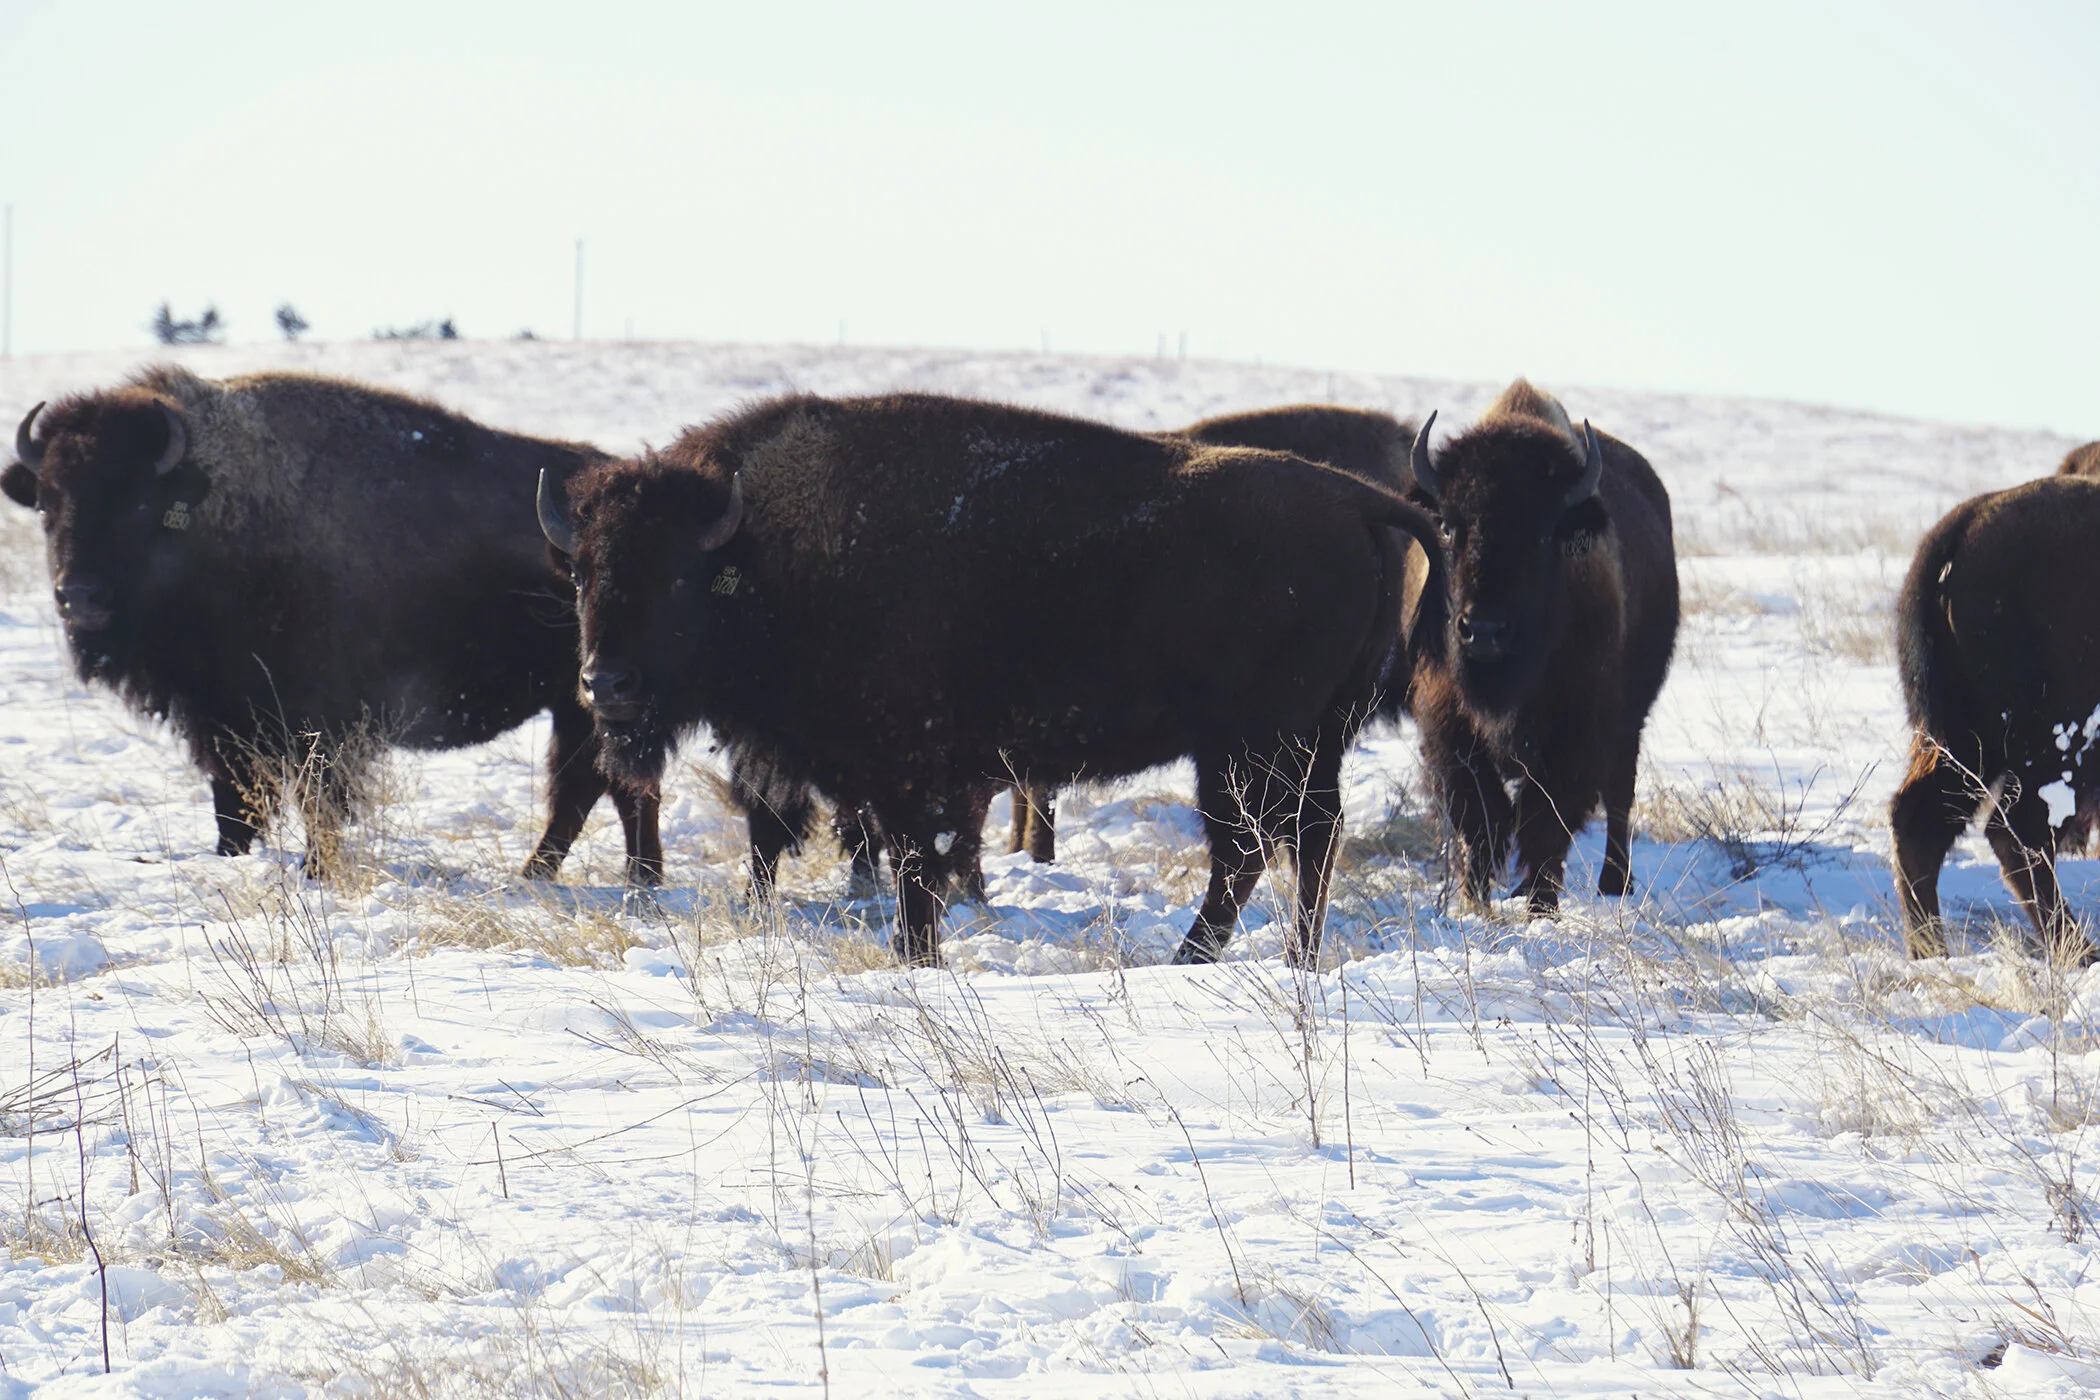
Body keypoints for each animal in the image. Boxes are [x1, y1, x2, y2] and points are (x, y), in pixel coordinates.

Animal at [3, 367, 662, 884]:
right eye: (48, 502)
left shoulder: (314, 722)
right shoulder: (224, 719)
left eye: (138, 501)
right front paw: (234, 859)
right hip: (582, 703)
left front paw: (316, 870)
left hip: (593, 699)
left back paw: (601, 879)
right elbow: (233, 803)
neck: (219, 515)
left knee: (598, 788)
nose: (79, 596)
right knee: (598, 786)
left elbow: (315, 802)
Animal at [542, 391, 1443, 966]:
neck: (762, 551)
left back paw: (1203, 958)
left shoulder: (906, 769)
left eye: (675, 579)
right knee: (1302, 839)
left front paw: (917, 953)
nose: (605, 684)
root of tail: (1356, 500)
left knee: (1255, 846)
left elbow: (917, 860)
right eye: (582, 572)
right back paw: (1286, 957)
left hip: (1249, 745)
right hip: (1304, 742)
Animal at [1405, 380, 1678, 913]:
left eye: (1545, 533)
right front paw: (1474, 902)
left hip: (1630, 720)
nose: (1484, 630)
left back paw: (1615, 882)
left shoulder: (1574, 731)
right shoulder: (1447, 725)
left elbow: (1545, 821)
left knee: (1620, 796)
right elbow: (1481, 816)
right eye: (1448, 526)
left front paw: (1539, 905)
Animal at [1890, 476, 2100, 962]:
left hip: (1963, 741)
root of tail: (1962, 524)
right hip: (2056, 749)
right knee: (2018, 834)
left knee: (1921, 823)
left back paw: (1931, 952)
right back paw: (2080, 951)